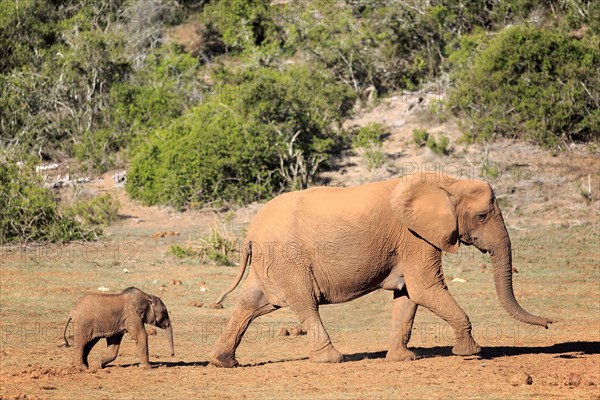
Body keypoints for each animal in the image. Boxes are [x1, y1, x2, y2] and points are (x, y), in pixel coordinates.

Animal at [211, 172, 552, 366]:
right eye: (482, 216)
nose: (550, 323)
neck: (446, 183)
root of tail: (251, 230)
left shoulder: (411, 240)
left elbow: (408, 296)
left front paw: (403, 359)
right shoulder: (415, 236)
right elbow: (425, 289)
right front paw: (471, 352)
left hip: (271, 260)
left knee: (250, 304)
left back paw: (222, 362)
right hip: (288, 258)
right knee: (305, 304)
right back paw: (332, 359)